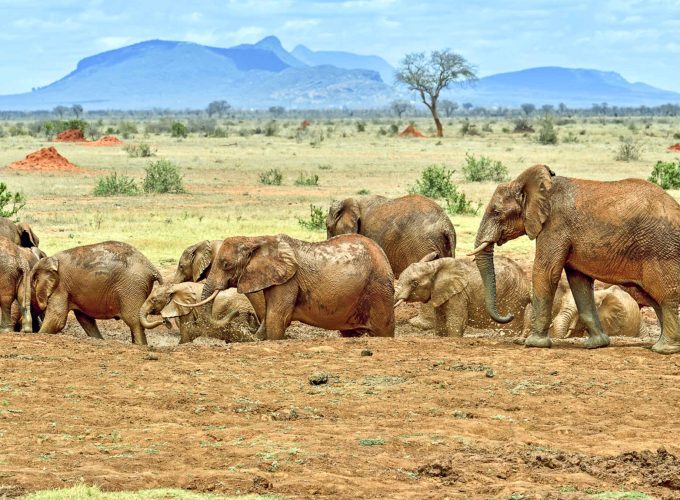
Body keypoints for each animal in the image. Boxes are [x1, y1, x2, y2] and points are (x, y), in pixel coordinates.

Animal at [31, 241, 162, 344]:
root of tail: (151, 267)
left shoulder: (61, 286)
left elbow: (57, 319)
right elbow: (86, 320)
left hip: (131, 287)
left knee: (133, 321)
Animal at [180, 234, 395, 340]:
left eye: (226, 265)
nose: (240, 314)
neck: (255, 240)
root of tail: (383, 254)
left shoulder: (288, 281)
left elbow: (276, 317)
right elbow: (269, 315)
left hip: (378, 287)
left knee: (384, 329)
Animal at [394, 254, 530, 337]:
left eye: (415, 283)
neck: (434, 266)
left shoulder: (458, 295)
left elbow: (455, 323)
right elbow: (440, 325)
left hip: (513, 298)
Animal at [471, 164, 680, 354]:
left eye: (496, 212)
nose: (509, 315)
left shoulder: (555, 225)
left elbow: (545, 272)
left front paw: (533, 344)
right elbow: (579, 282)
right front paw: (596, 345)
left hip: (662, 249)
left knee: (666, 296)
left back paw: (664, 349)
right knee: (654, 299)